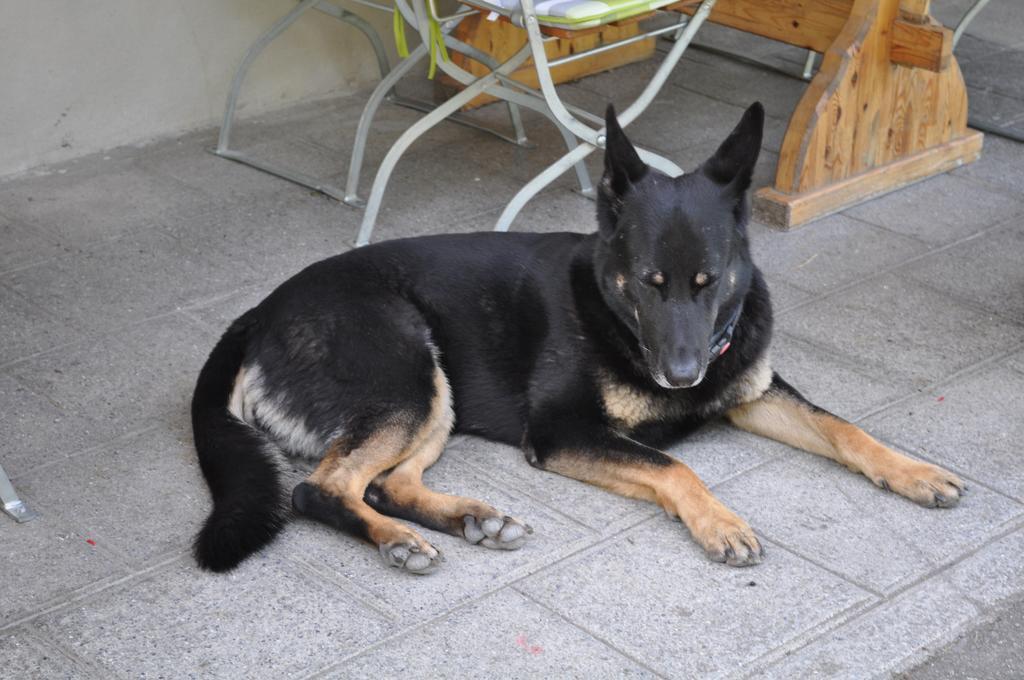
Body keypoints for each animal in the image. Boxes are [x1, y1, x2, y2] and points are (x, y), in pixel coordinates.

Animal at [192, 103, 966, 577]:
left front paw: (914, 471)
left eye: (710, 280)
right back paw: (400, 542)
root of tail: (257, 312)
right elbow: (674, 468)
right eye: (649, 282)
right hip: (409, 378)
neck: (618, 315)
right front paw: (718, 522)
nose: (683, 376)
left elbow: (844, 429)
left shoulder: (754, 391)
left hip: (434, 397)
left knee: (385, 483)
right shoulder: (566, 431)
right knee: (319, 490)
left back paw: (470, 518)